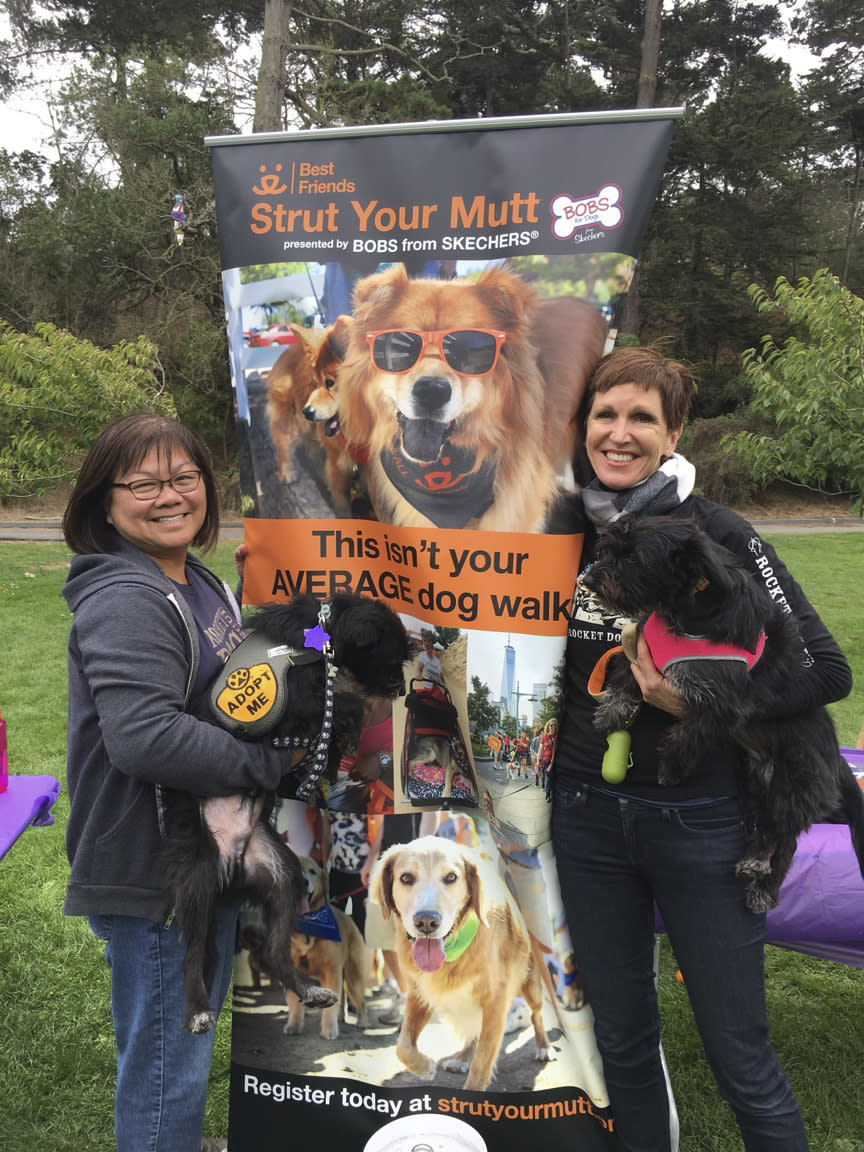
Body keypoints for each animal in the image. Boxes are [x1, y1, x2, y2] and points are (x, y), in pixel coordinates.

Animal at [285, 857, 370, 1036]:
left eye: (312, 871)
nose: (303, 882)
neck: (309, 922)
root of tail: (350, 917)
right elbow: (295, 1003)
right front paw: (293, 1025)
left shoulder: (331, 972)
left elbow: (330, 1007)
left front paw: (329, 1030)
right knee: (343, 998)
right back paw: (342, 1015)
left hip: (353, 976)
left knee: (361, 1001)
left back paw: (362, 1021)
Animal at [370, 838, 557, 1087]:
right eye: (406, 878)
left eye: (451, 877)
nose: (426, 922)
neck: (454, 952)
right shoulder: (420, 993)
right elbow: (403, 1046)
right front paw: (425, 1069)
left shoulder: (496, 1002)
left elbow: (482, 1062)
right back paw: (461, 1058)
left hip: (532, 985)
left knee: (537, 1014)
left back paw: (544, 1047)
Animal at [582, 518, 864, 912]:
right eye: (608, 547)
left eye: (635, 557)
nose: (589, 580)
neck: (681, 609)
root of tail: (838, 763)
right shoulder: (641, 652)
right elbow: (624, 677)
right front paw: (611, 714)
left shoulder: (726, 703)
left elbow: (689, 733)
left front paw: (670, 770)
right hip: (754, 784)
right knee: (769, 828)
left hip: (790, 784)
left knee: (785, 837)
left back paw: (761, 877)